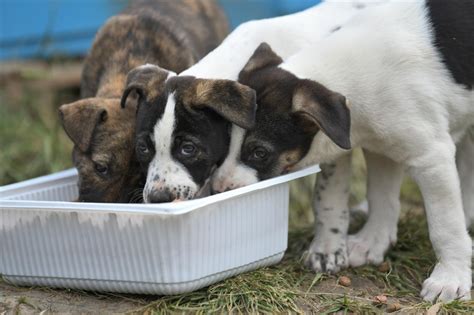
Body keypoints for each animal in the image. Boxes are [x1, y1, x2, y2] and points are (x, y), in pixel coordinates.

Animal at [214, 1, 474, 304]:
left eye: (259, 153)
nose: (218, 190)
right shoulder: (381, 147)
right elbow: (381, 196)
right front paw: (372, 241)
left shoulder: (432, 157)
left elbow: (445, 226)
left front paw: (450, 278)